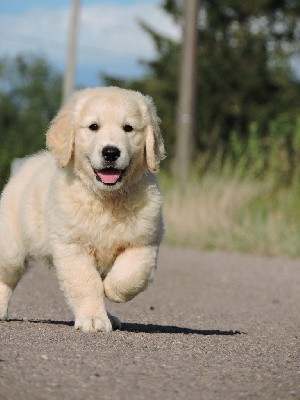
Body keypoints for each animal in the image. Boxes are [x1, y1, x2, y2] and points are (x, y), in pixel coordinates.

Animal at [0, 88, 165, 334]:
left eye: (128, 128)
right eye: (93, 127)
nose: (110, 152)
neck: (106, 199)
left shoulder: (144, 242)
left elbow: (132, 274)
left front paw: (112, 291)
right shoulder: (72, 245)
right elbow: (86, 283)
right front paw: (93, 318)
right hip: (11, 247)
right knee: (6, 275)